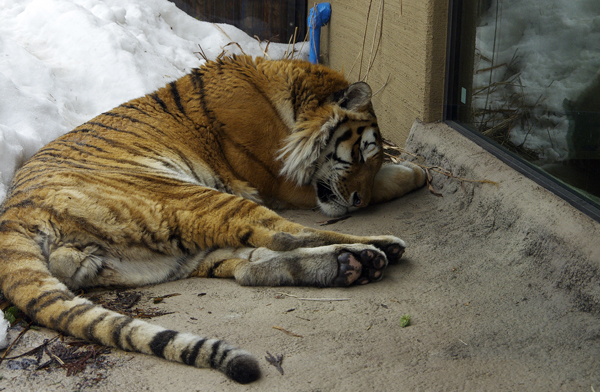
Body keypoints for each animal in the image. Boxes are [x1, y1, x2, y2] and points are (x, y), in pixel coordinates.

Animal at [0, 54, 426, 382]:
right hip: (191, 197)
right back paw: (381, 248)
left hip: (170, 250)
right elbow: (378, 186)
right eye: (361, 155)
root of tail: (15, 211)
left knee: (249, 267)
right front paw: (414, 173)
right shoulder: (283, 180)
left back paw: (353, 264)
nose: (357, 201)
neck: (288, 98)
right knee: (283, 236)